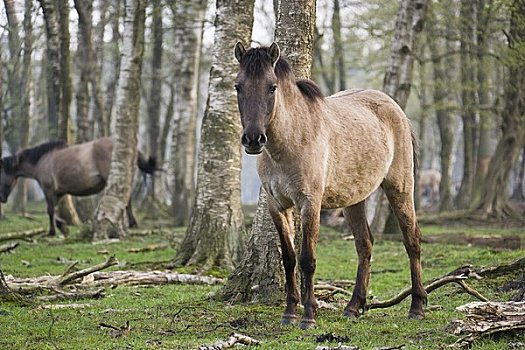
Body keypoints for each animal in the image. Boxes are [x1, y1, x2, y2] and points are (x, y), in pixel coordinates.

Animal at [0, 137, 156, 235]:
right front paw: (62, 227)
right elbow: (54, 210)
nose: (2, 199)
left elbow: (50, 210)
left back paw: (132, 223)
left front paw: (52, 231)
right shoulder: (59, 192)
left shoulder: (48, 189)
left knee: (126, 199)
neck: (43, 160)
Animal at [233, 42, 426, 330]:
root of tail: (396, 109)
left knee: (411, 240)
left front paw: (308, 317)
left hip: (400, 188)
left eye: (272, 87)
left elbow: (307, 260)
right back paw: (354, 307)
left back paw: (417, 307)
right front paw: (289, 313)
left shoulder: (310, 204)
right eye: (238, 86)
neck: (289, 141)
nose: (253, 139)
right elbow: (288, 258)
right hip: (354, 199)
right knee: (365, 244)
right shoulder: (277, 206)